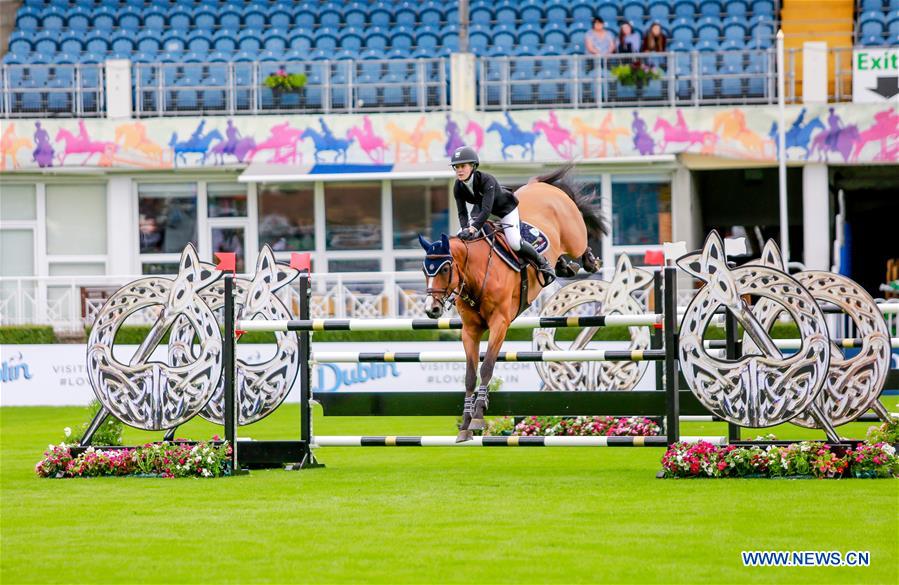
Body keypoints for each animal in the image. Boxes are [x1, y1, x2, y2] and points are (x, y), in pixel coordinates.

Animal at [418, 166, 607, 442]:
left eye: (444, 268)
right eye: (425, 270)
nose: (432, 309)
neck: (477, 274)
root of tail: (543, 186)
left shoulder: (500, 323)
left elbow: (487, 367)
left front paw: (478, 415)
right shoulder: (470, 330)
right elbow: (470, 374)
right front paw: (465, 424)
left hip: (574, 236)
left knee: (580, 245)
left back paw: (590, 261)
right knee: (561, 259)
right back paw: (560, 267)